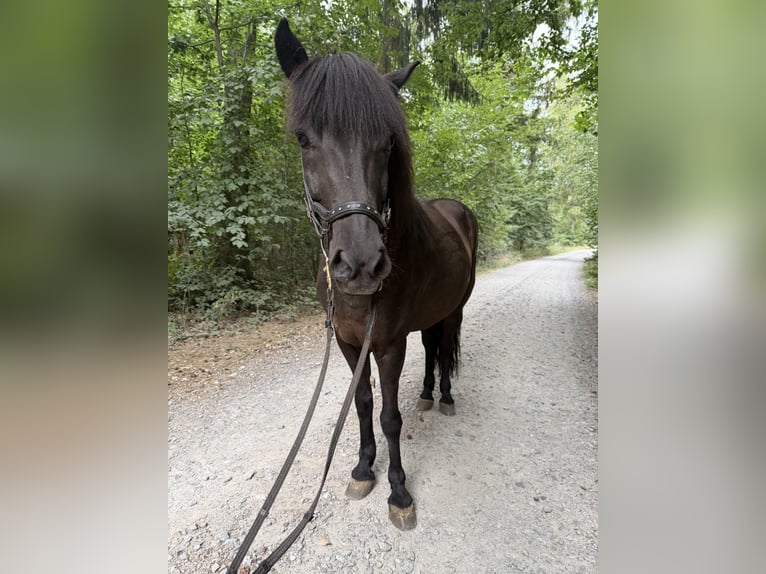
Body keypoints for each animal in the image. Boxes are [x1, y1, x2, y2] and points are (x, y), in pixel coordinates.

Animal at [275, 19, 478, 530]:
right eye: (303, 139)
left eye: (388, 142)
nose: (361, 265)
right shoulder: (351, 343)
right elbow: (363, 404)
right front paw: (363, 469)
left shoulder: (388, 344)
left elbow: (390, 416)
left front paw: (399, 492)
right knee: (432, 349)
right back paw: (426, 393)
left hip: (454, 309)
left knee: (444, 346)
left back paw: (444, 398)